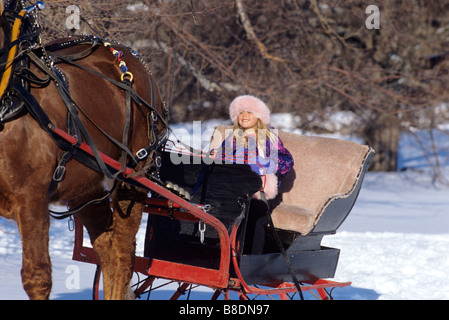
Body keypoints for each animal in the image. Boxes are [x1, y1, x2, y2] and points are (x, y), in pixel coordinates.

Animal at [0, 0, 167, 300]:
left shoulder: (31, 198)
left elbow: (37, 277)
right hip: (87, 187)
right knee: (107, 251)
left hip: (134, 177)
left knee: (122, 254)